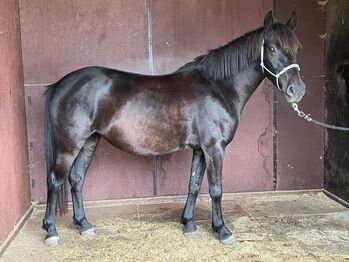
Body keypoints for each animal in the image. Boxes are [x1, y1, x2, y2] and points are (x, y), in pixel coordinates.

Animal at [42, 11, 304, 246]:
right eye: (272, 49)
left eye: (297, 48)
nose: (297, 90)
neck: (217, 87)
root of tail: (60, 84)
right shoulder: (214, 148)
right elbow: (216, 189)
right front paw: (222, 230)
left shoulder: (200, 150)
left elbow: (194, 185)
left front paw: (188, 224)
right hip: (68, 146)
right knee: (55, 181)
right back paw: (51, 231)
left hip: (89, 142)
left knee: (76, 179)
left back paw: (84, 224)